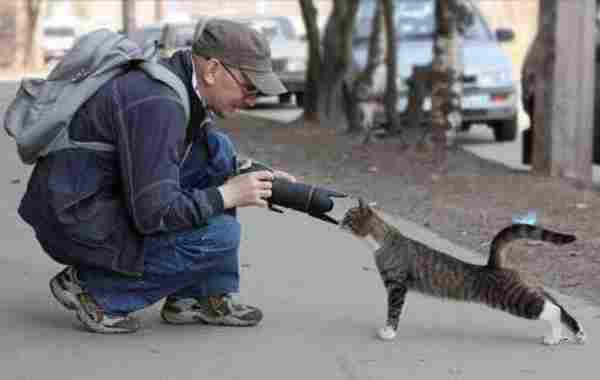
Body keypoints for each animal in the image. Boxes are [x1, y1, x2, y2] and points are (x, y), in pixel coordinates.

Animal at [342, 200, 584, 346]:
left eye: (348, 217)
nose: (339, 222)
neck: (384, 239)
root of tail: (494, 265)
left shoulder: (397, 286)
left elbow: (393, 311)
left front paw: (388, 332)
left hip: (514, 299)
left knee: (552, 309)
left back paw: (555, 337)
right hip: (528, 287)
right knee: (557, 305)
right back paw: (575, 334)